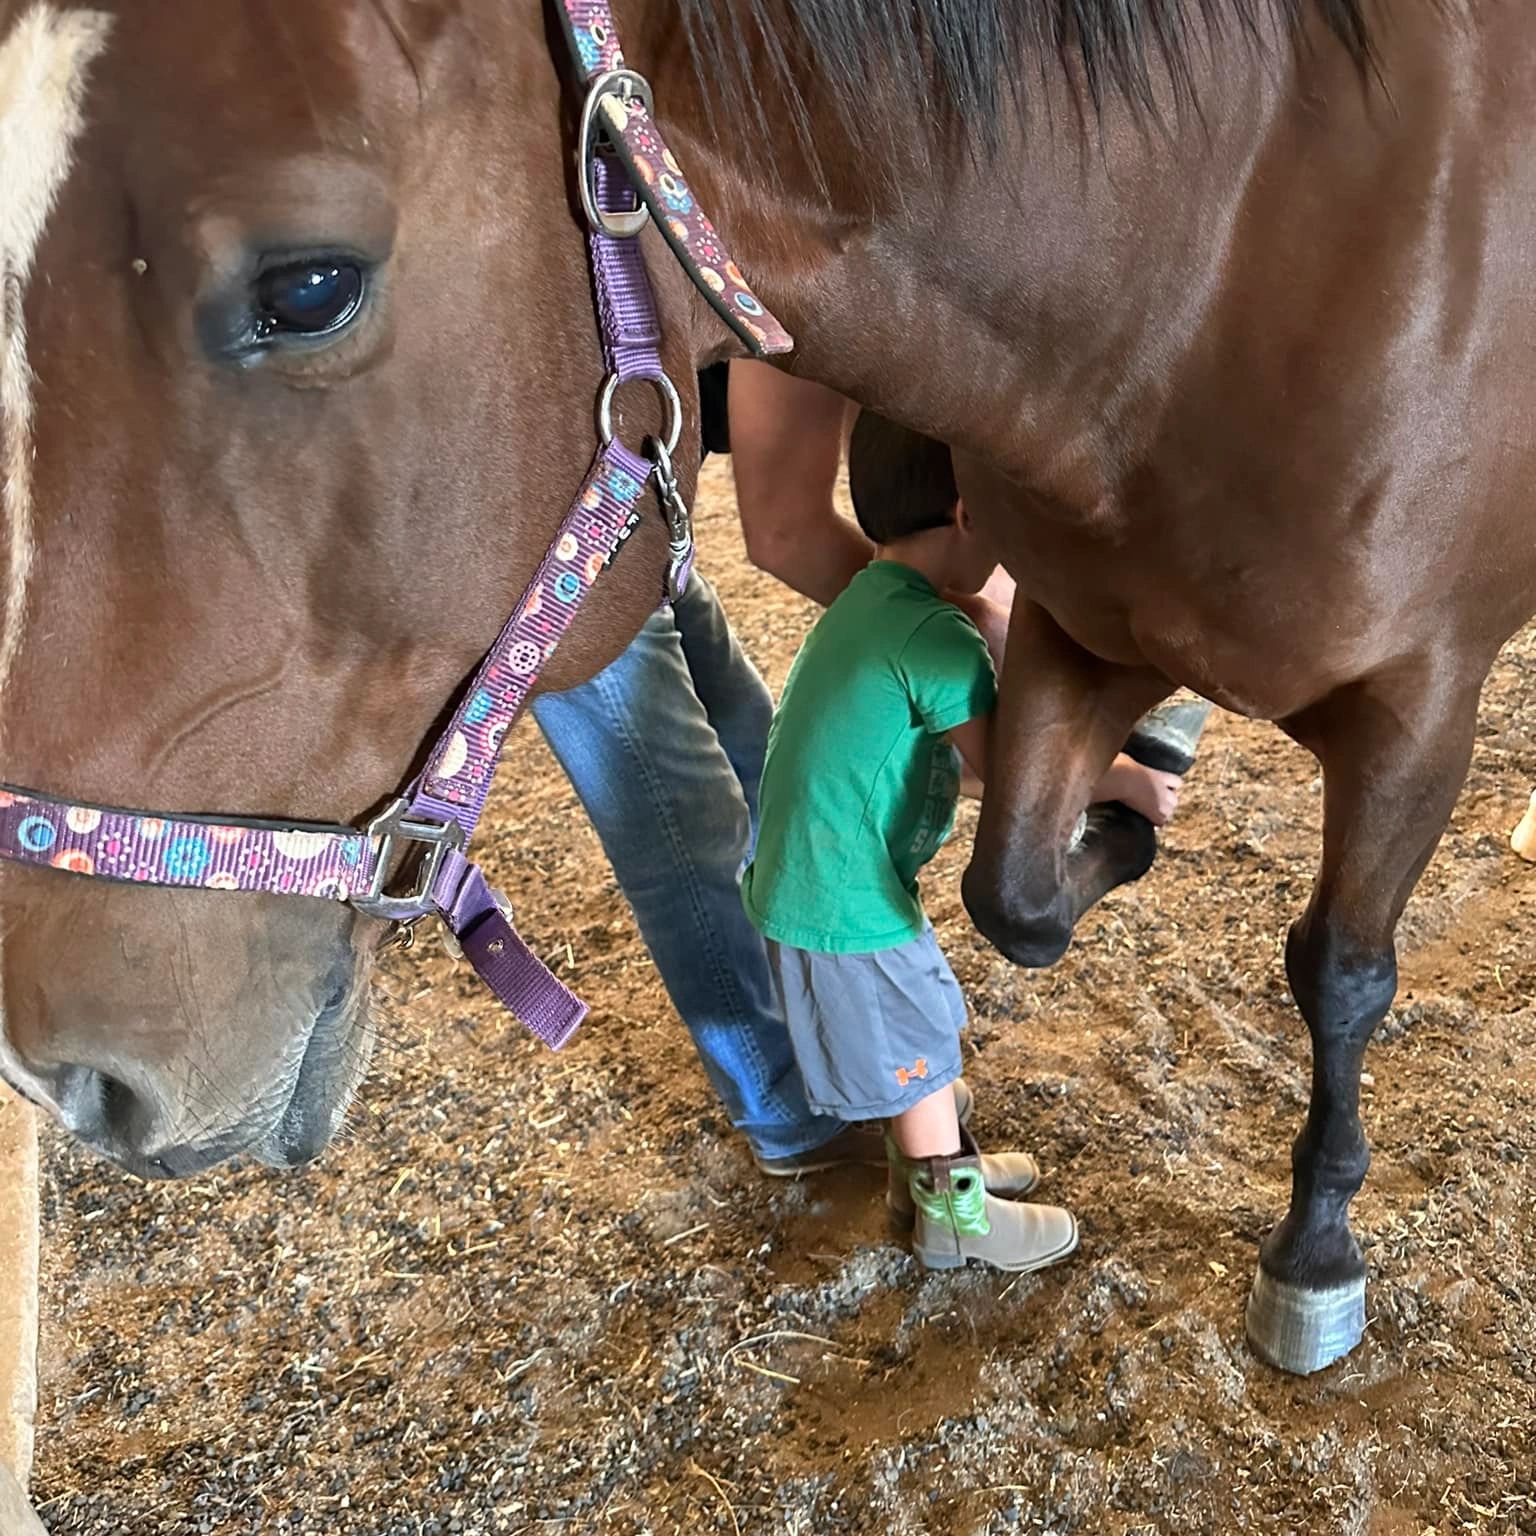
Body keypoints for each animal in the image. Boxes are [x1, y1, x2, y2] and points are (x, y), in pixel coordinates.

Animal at [2, 0, 1533, 1379]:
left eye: (308, 287)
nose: (67, 1073)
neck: (1220, 271)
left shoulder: (1421, 704)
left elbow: (1340, 975)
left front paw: (1315, 1257)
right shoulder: (1065, 625)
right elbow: (1018, 896)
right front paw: (1120, 814)